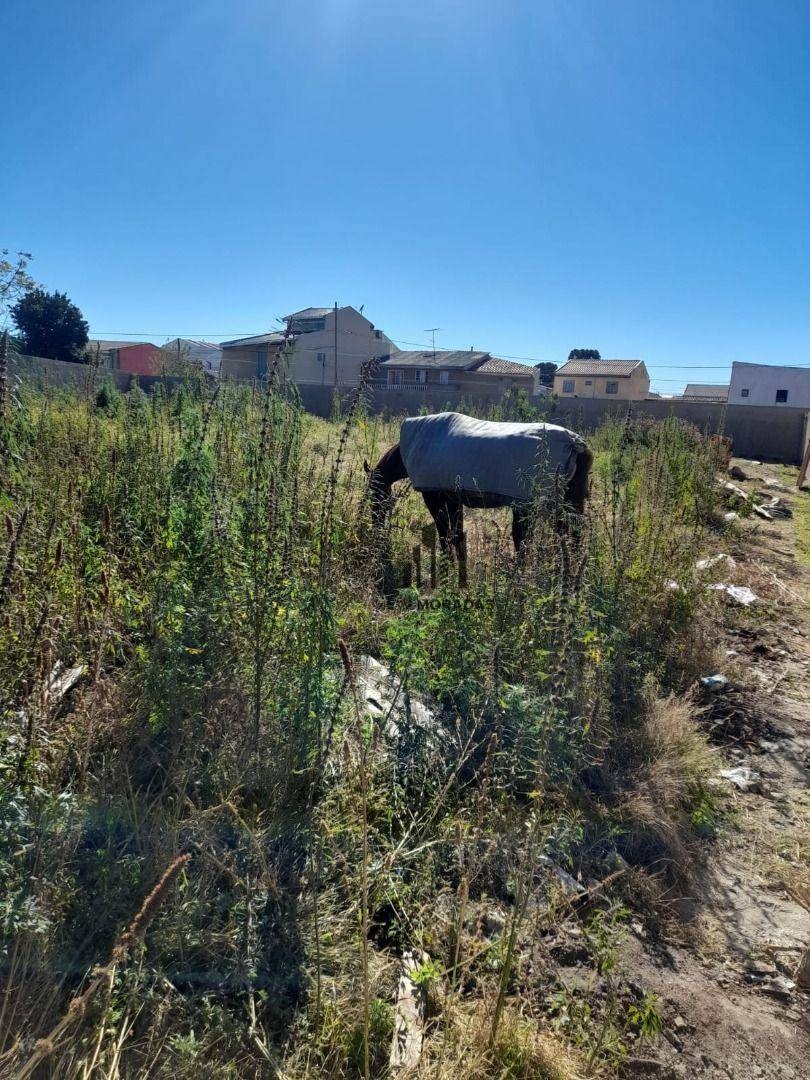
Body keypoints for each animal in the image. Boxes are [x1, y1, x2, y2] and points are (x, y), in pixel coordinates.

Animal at [365, 408, 591, 570]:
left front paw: (447, 567)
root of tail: (575, 444)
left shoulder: (434, 498)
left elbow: (444, 534)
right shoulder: (453, 500)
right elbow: (456, 534)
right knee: (570, 533)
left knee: (527, 541)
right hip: (566, 505)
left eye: (373, 496)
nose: (375, 527)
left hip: (532, 507)